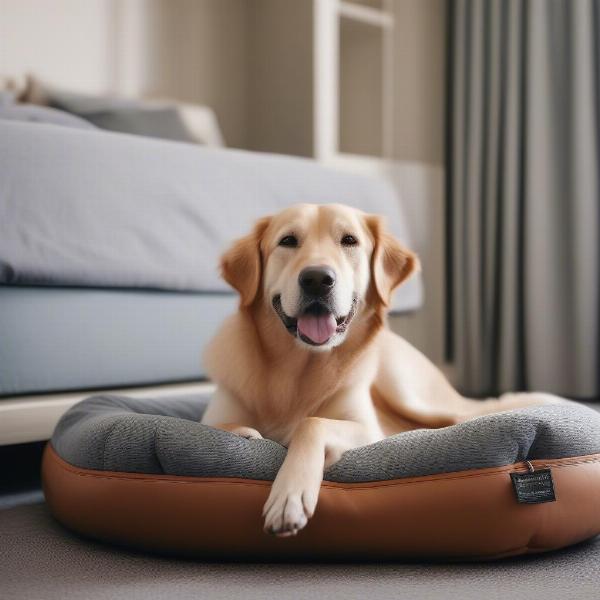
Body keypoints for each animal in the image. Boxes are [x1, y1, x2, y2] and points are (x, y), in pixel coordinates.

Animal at [202, 204, 564, 536]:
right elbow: (221, 426)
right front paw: (247, 433)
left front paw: (289, 496)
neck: (297, 369)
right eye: (288, 241)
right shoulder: (214, 416)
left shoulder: (368, 430)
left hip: (412, 394)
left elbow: (311, 423)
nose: (317, 279)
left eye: (349, 240)